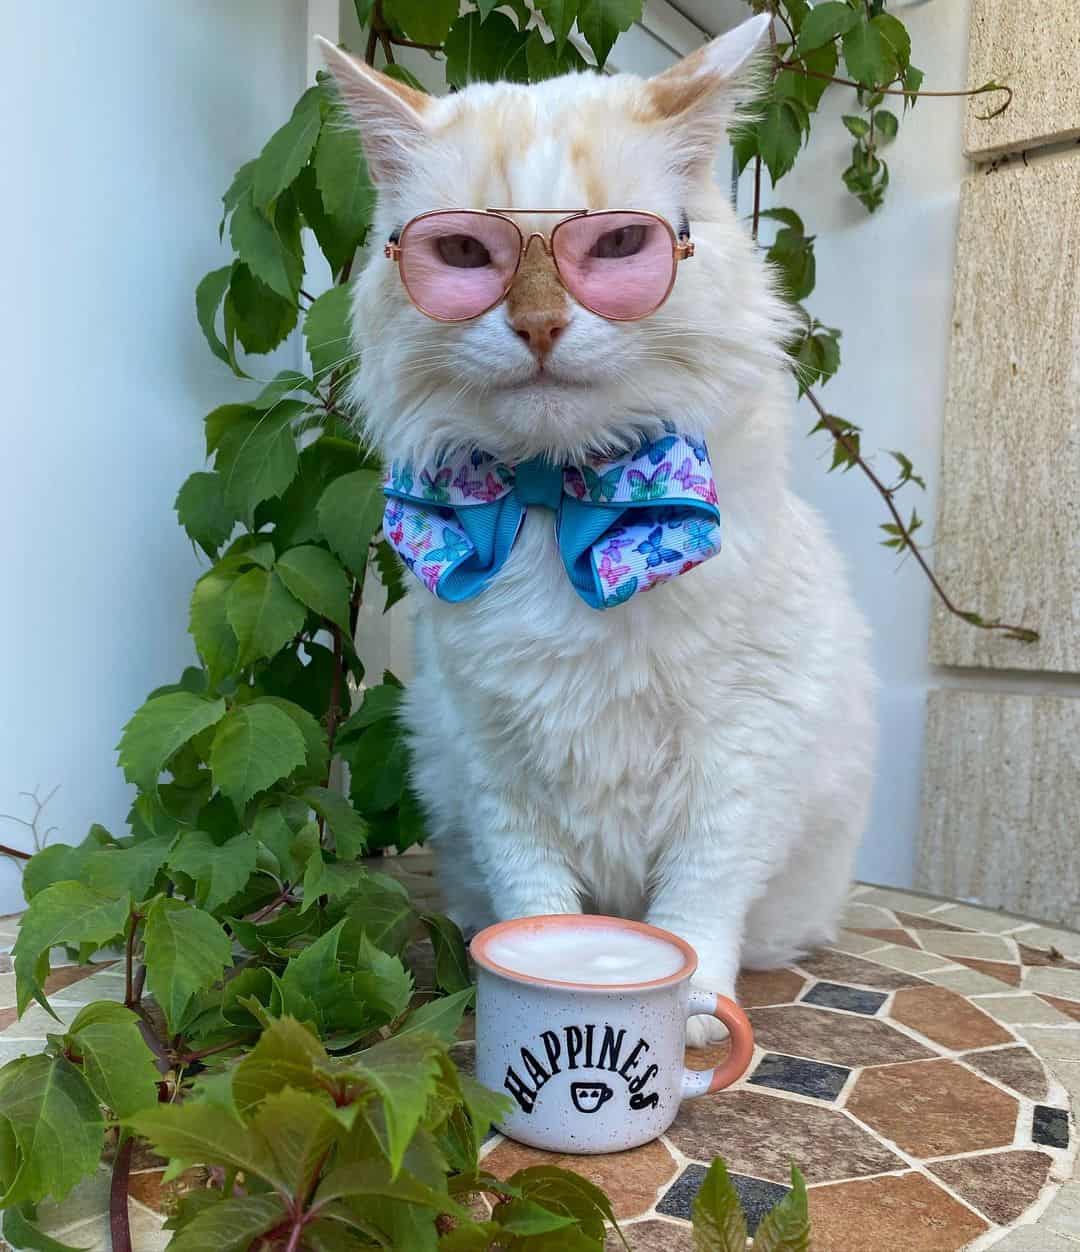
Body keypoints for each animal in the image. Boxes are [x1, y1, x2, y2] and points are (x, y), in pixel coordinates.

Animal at [320, 14, 881, 1041]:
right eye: (467, 257)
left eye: (619, 244)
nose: (540, 327)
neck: (559, 500)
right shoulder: (492, 759)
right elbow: (537, 905)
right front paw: (520, 985)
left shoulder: (741, 755)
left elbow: (694, 908)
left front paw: (694, 1017)